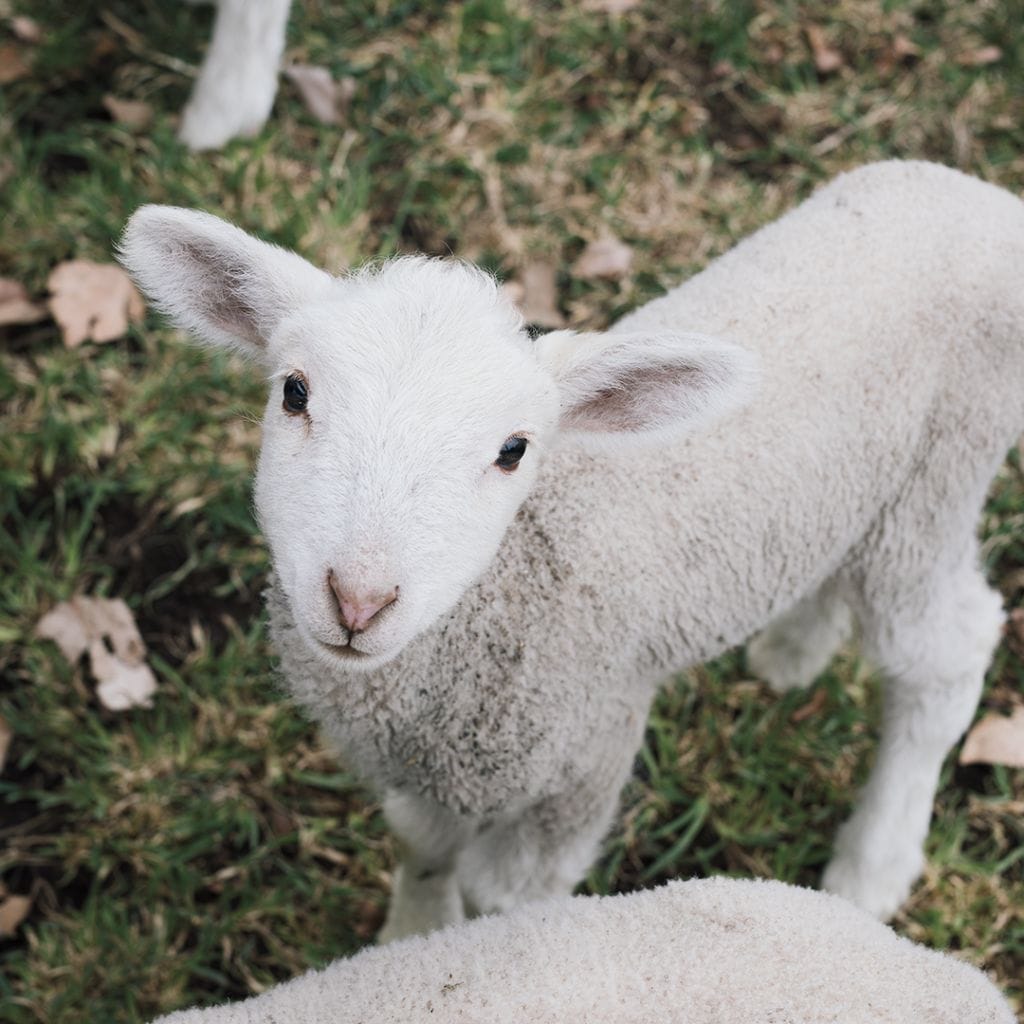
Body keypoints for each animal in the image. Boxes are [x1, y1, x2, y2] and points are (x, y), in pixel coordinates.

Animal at [119, 160, 1024, 939]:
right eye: (294, 392)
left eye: (514, 449)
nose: (359, 600)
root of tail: (977, 196)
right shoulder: (433, 772)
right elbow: (421, 848)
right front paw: (411, 934)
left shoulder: (586, 757)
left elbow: (503, 893)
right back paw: (793, 650)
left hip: (938, 483)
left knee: (948, 655)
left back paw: (872, 868)